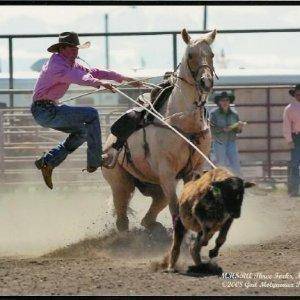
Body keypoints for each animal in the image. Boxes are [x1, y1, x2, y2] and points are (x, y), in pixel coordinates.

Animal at [102, 29, 217, 232]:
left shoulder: (194, 171)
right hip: (121, 184)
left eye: (211, 55)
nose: (206, 82)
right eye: (190, 55)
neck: (184, 123)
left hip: (155, 187)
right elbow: (175, 208)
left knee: (149, 215)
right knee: (122, 217)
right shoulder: (167, 173)